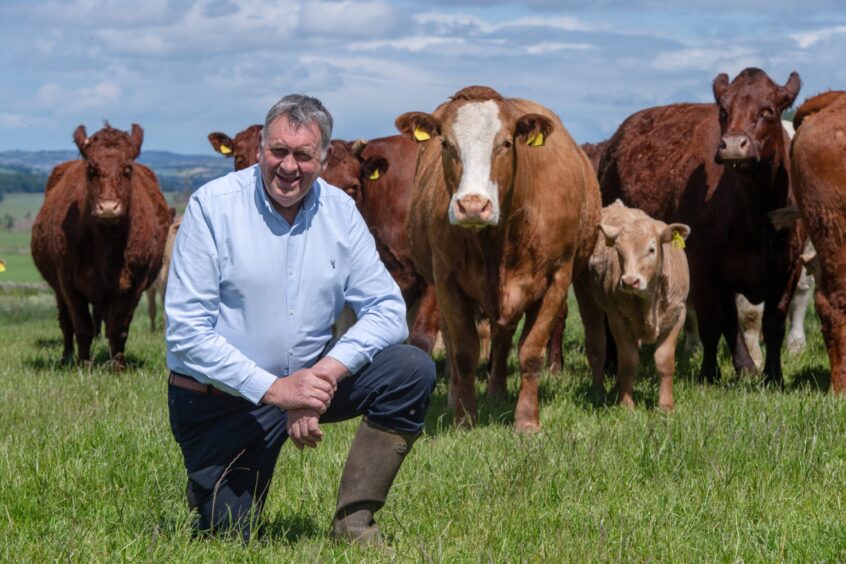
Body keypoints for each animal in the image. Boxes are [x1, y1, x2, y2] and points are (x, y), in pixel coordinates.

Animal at [29, 124, 172, 370]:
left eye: (127, 168)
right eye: (91, 169)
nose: (107, 207)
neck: (106, 243)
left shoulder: (135, 284)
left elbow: (118, 328)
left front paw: (118, 368)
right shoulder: (67, 282)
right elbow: (82, 326)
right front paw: (84, 366)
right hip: (58, 288)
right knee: (66, 322)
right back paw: (66, 357)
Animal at [398, 83, 604, 430]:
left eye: (506, 143)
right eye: (446, 143)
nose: (472, 206)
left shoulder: (557, 279)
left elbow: (530, 352)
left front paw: (527, 421)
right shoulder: (447, 281)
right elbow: (464, 351)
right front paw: (464, 417)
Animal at [588, 200, 692, 408]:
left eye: (651, 249)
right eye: (619, 251)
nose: (629, 281)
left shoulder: (678, 315)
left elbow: (664, 360)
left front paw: (666, 405)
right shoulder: (617, 319)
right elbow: (629, 361)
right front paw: (626, 404)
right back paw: (599, 391)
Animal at [600, 66, 804, 384]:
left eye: (768, 110)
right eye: (724, 110)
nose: (733, 146)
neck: (754, 216)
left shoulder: (789, 268)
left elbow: (772, 325)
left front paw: (773, 376)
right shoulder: (702, 267)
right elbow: (710, 323)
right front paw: (709, 374)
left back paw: (745, 366)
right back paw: (610, 363)